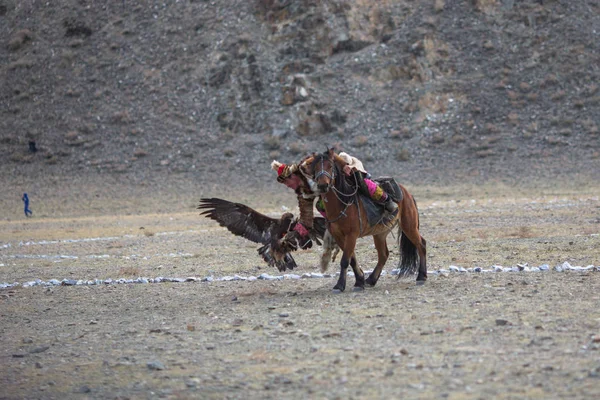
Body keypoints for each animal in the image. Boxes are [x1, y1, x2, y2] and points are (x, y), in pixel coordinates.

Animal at [300, 148, 426, 292]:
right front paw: (359, 281)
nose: (323, 185)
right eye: (315, 168)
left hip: (409, 225)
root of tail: (406, 193)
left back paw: (421, 277)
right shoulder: (339, 236)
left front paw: (340, 285)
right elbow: (352, 259)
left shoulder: (351, 235)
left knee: (421, 245)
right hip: (380, 233)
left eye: (330, 166)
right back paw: (371, 280)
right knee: (383, 255)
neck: (342, 204)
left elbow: (345, 260)